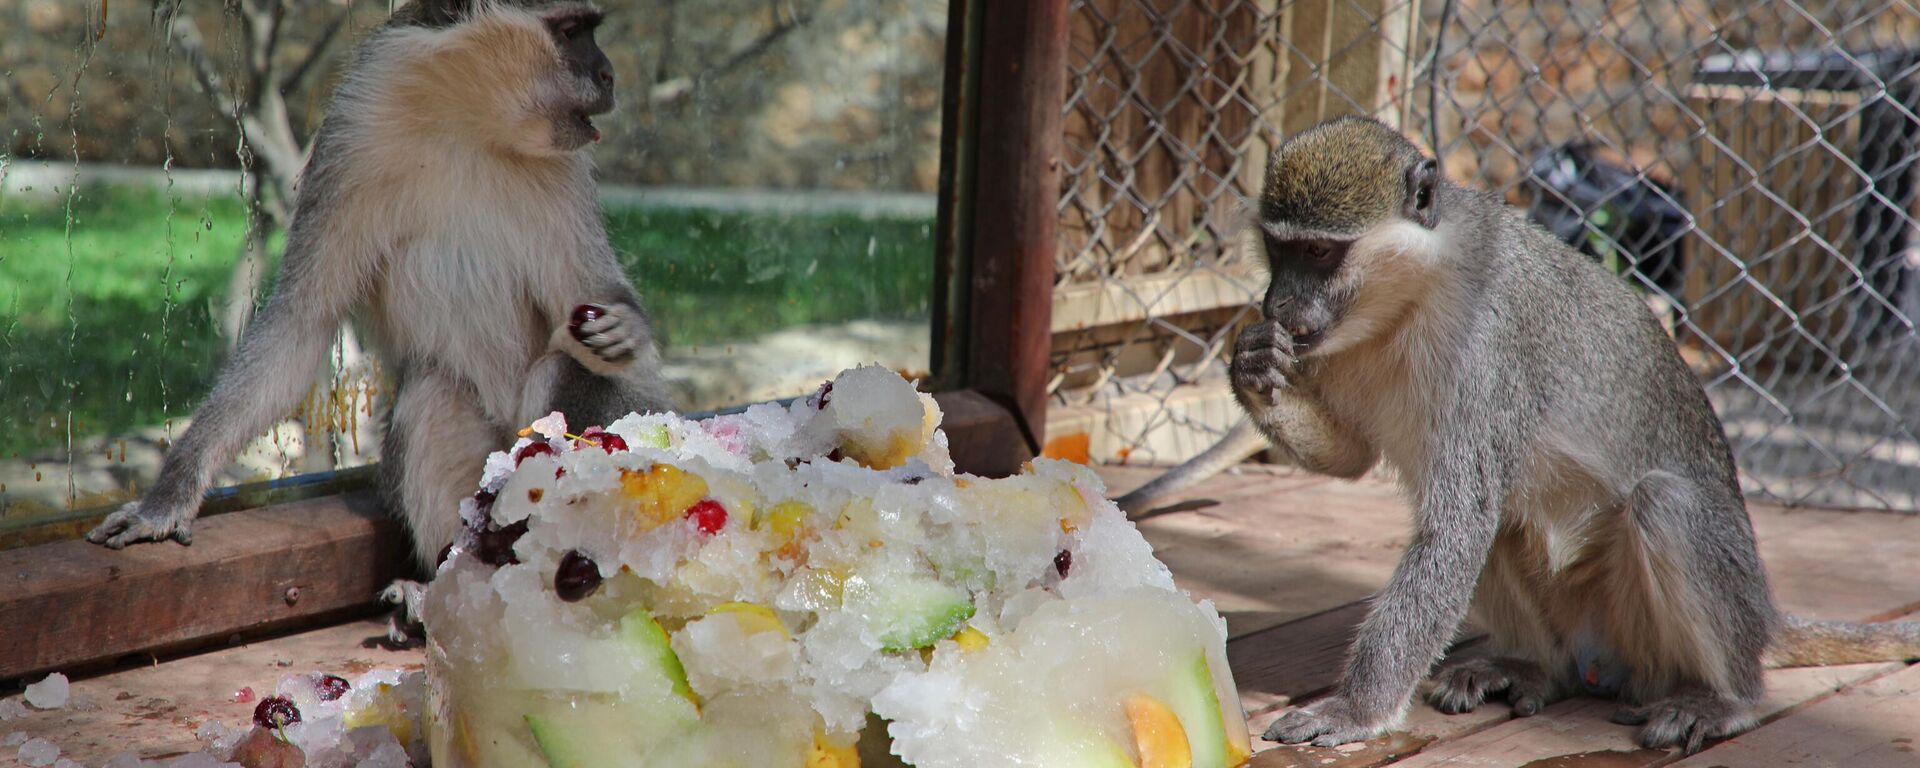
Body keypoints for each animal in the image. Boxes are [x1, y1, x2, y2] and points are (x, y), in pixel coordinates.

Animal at [86, 0, 672, 637]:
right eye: (571, 32)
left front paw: (627, 327)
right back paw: (445, 590)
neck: (467, 122)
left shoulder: (565, 172)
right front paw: (169, 496)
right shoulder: (354, 137)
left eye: (591, 29)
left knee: (565, 371)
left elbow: (595, 302)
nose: (610, 74)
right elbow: (301, 324)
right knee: (433, 394)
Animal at [1136, 117, 1920, 752]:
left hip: (1655, 628)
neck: (1407, 298)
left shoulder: (1488, 346)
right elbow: (1357, 461)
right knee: (1508, 528)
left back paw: (1727, 700)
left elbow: (1456, 523)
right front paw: (1251, 363)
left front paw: (1357, 710)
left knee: (1659, 505)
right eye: (1279, 250)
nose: (1279, 306)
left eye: (1323, 256)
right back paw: (1529, 666)